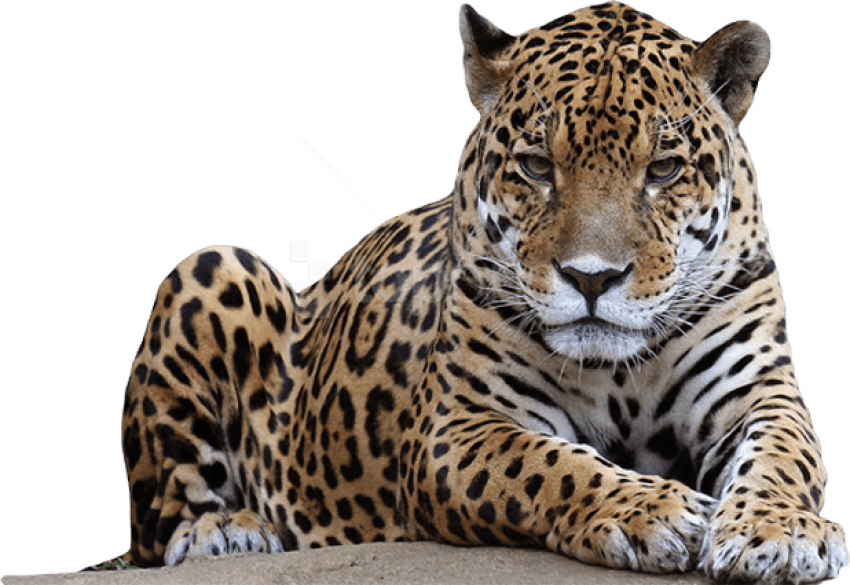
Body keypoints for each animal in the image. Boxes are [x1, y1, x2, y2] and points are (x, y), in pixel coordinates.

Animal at [93, 2, 849, 583]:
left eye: (663, 169)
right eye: (537, 166)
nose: (592, 278)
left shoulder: (758, 393)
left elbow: (786, 455)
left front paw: (779, 531)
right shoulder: (461, 428)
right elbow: (550, 465)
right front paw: (652, 512)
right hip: (212, 267)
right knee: (157, 527)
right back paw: (227, 531)